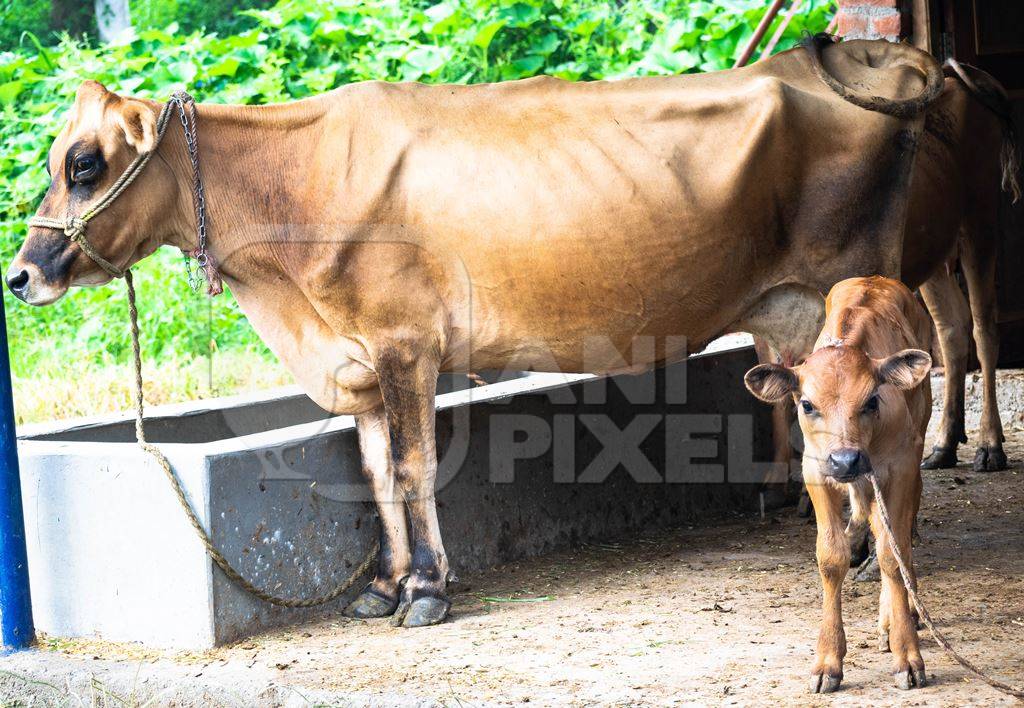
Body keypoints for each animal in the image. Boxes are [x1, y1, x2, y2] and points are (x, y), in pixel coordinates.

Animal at [6, 36, 942, 627]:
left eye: (83, 163)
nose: (21, 274)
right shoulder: (359, 359)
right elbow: (375, 471)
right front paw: (384, 586)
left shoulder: (403, 343)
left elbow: (414, 469)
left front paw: (426, 589)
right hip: (794, 317)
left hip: (852, 289)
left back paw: (871, 552)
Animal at [741, 276, 933, 692]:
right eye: (807, 404)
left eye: (872, 400)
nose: (846, 460)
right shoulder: (817, 471)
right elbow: (831, 558)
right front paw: (828, 661)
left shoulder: (900, 467)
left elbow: (893, 553)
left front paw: (907, 654)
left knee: (901, 538)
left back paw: (899, 617)